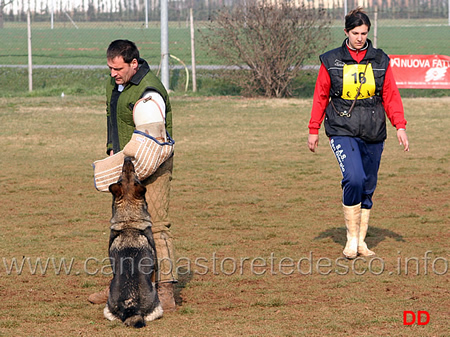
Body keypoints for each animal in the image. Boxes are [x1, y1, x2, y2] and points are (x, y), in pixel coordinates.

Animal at [103, 157, 163, 326]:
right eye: (137, 177)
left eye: (121, 175)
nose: (127, 158)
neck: (129, 220)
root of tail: (131, 306)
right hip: (157, 307)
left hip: (107, 310)